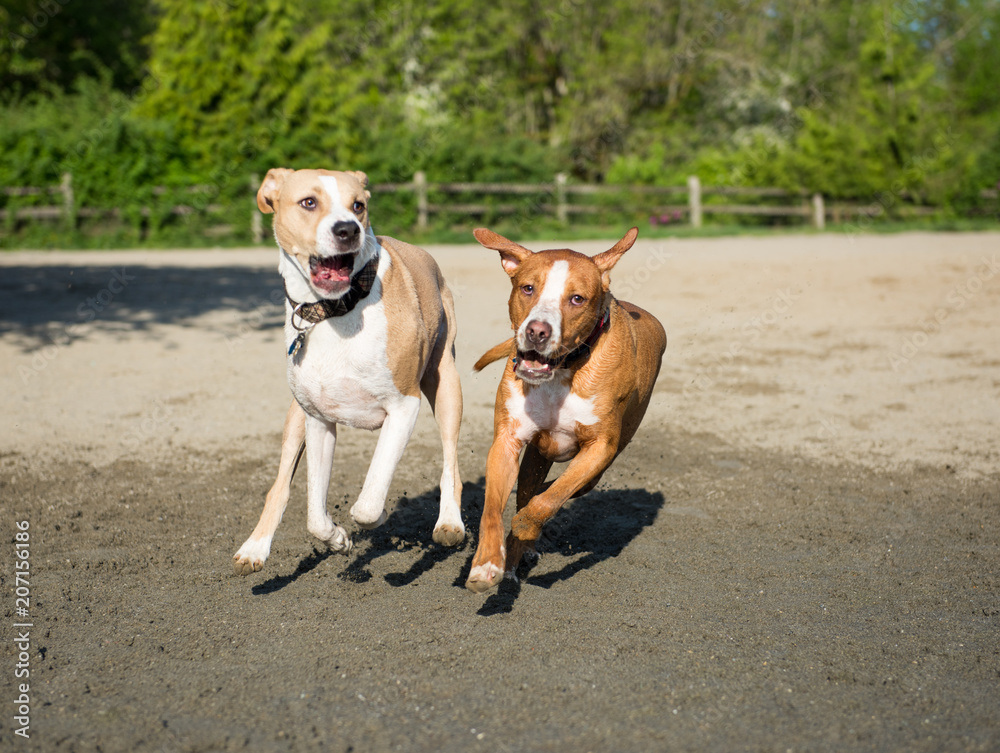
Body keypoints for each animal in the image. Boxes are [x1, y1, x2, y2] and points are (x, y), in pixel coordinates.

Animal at [234, 167, 464, 572]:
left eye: (358, 205)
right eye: (309, 202)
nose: (348, 229)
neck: (335, 312)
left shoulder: (404, 406)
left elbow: (369, 502)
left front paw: (375, 516)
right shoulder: (317, 419)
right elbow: (314, 514)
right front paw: (338, 538)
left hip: (447, 386)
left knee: (450, 461)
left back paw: (450, 523)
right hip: (294, 417)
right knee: (280, 486)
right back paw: (255, 548)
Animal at [464, 226, 668, 592]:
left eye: (577, 299)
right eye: (527, 288)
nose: (536, 331)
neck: (563, 372)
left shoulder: (599, 449)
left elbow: (548, 500)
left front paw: (526, 524)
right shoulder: (507, 441)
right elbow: (492, 509)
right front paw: (486, 564)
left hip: (602, 461)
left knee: (558, 490)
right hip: (536, 457)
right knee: (528, 488)